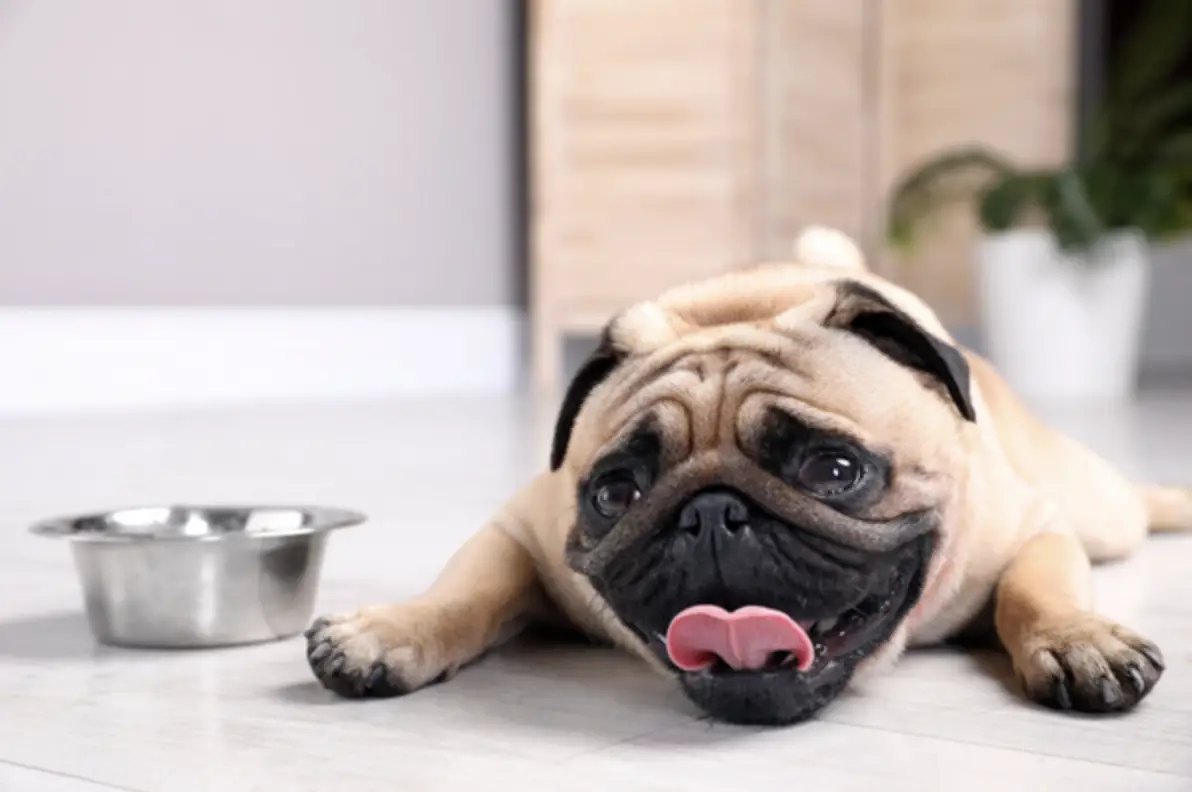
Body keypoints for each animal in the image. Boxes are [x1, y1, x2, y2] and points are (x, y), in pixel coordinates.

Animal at [302, 227, 1187, 725]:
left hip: (1097, 508)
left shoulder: (1036, 530)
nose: (711, 514)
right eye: (615, 492)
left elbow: (1036, 592)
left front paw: (1076, 640)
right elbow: (465, 591)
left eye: (835, 468)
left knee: (1131, 506)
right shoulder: (521, 531)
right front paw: (392, 630)